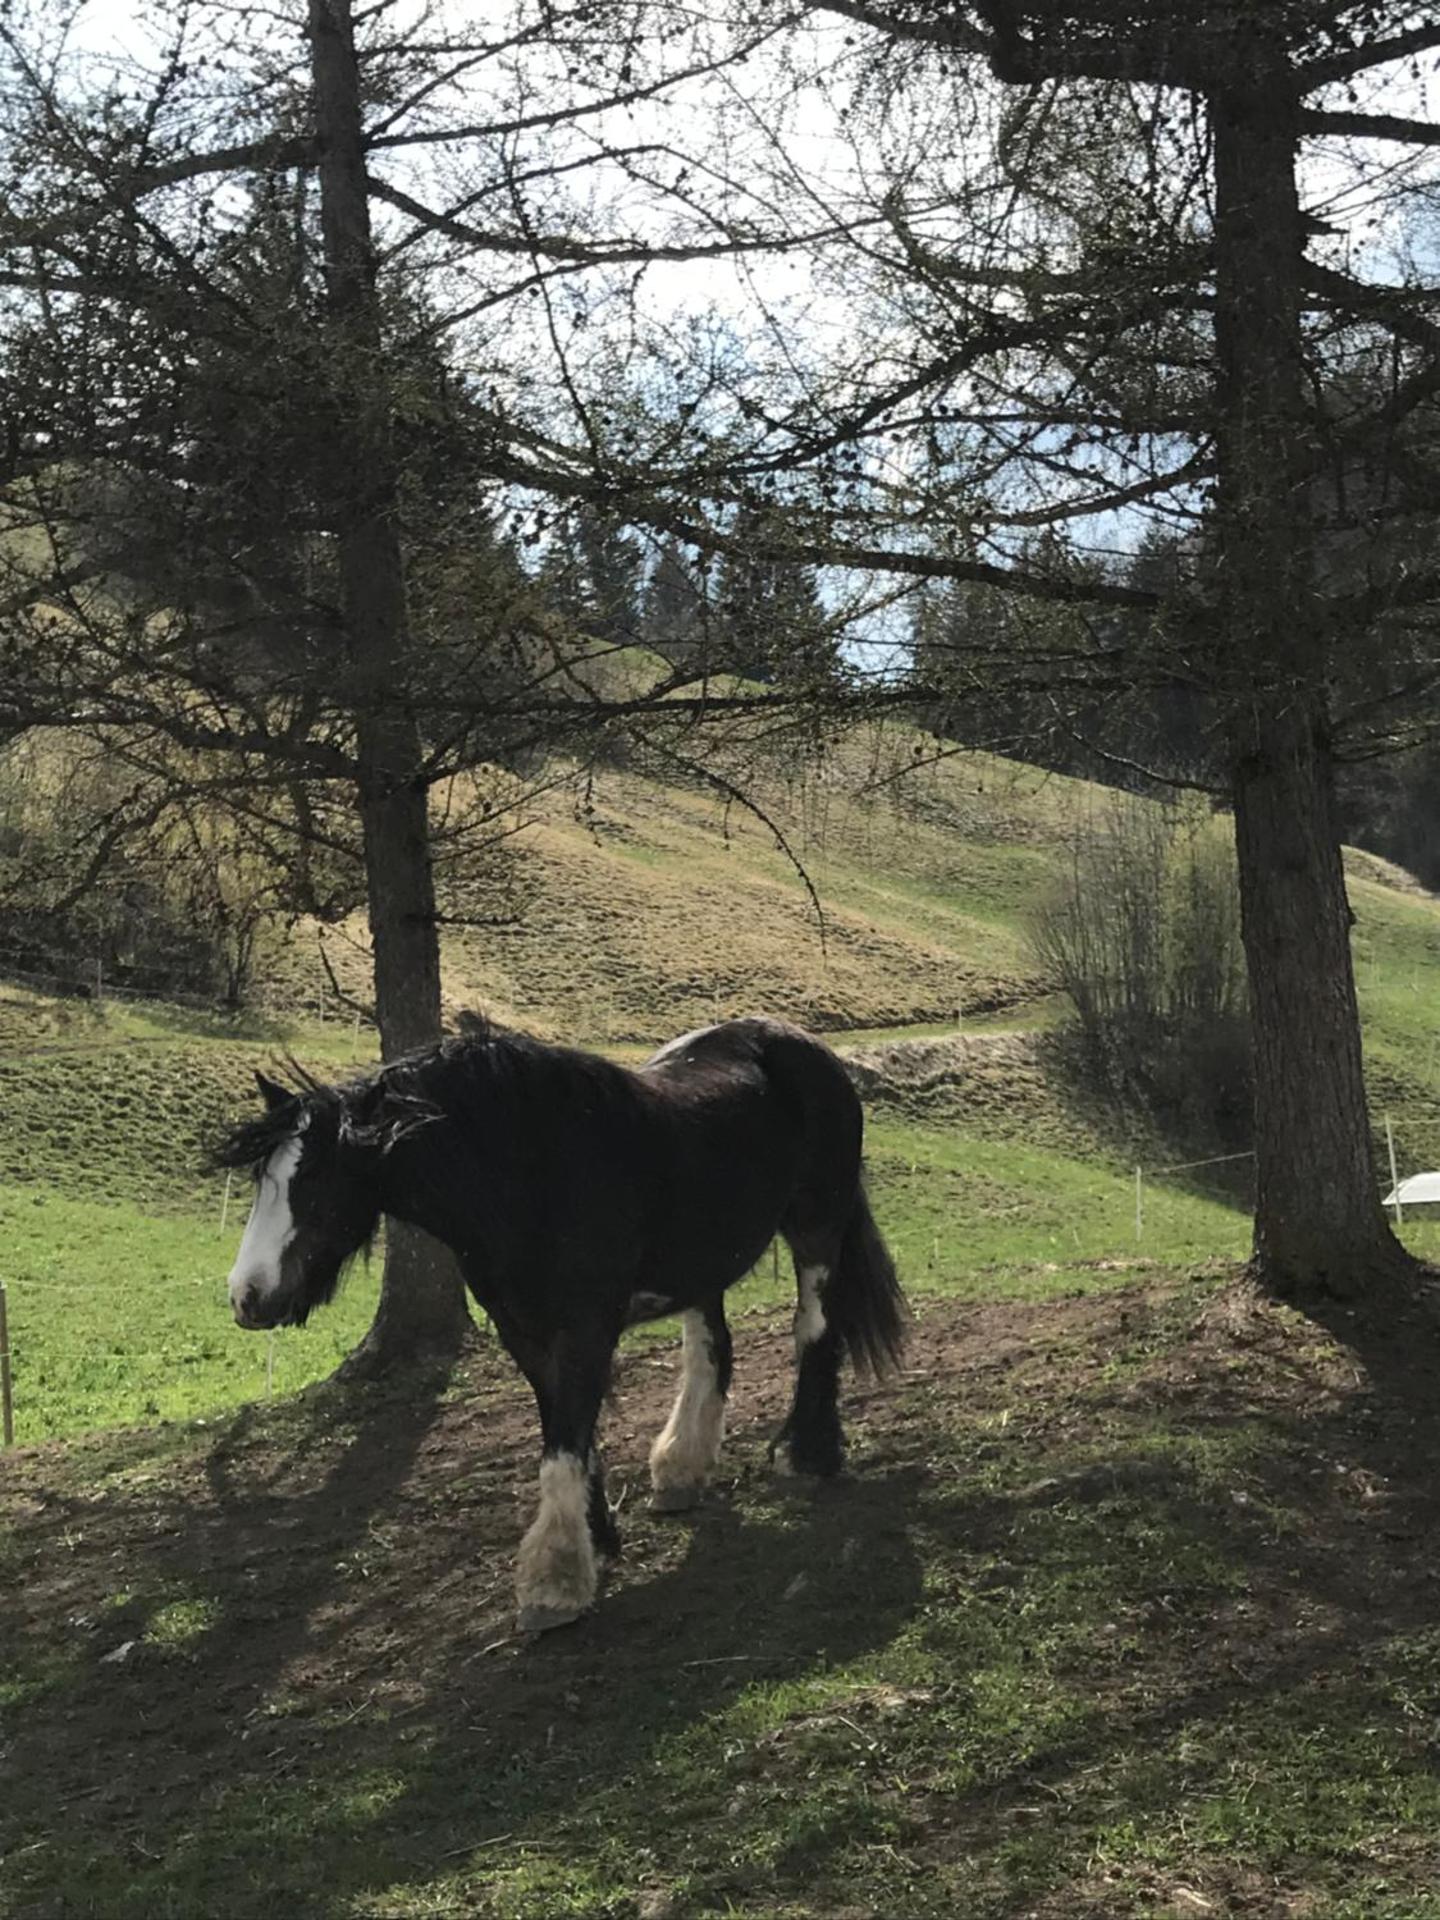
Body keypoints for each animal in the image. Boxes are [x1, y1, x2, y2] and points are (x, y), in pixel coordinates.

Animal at [214, 1016, 906, 1633]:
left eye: (316, 1180)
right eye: (260, 1179)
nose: (248, 1297)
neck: (526, 1173)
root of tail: (805, 1046)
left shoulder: (584, 1330)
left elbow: (564, 1443)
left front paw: (555, 1584)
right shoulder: (525, 1332)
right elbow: (570, 1433)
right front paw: (597, 1542)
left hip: (817, 1229)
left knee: (814, 1328)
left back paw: (807, 1453)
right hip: (702, 1262)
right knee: (710, 1351)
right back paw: (681, 1468)